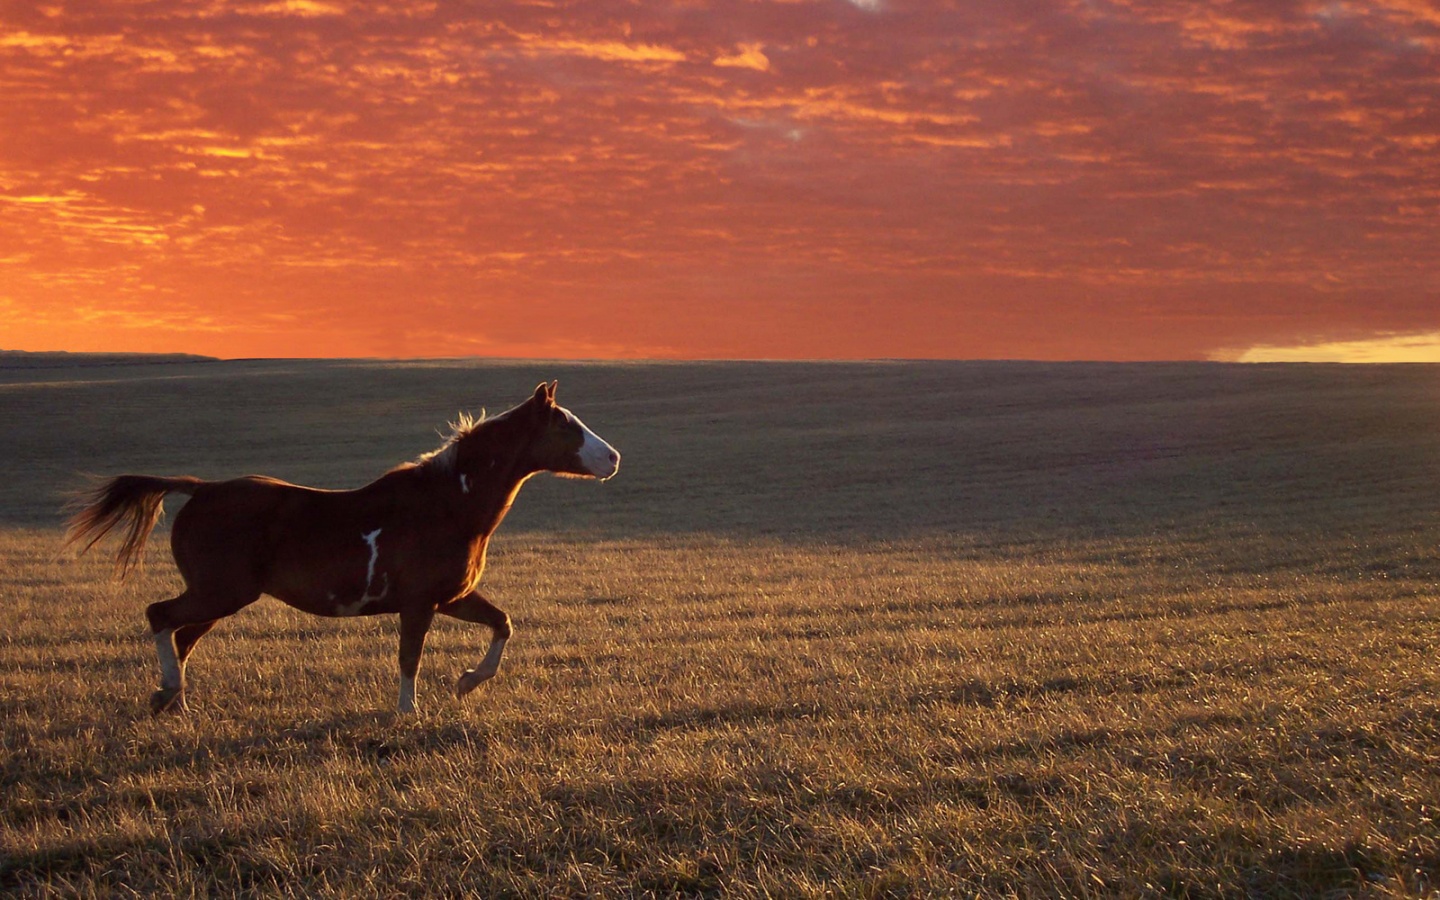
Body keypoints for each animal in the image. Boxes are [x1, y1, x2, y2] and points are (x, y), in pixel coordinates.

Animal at [67, 380, 619, 717]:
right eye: (567, 426)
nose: (613, 458)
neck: (448, 505)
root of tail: (200, 489)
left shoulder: (453, 597)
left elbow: (502, 624)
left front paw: (466, 682)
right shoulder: (419, 603)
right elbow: (409, 657)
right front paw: (408, 712)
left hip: (221, 596)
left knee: (182, 637)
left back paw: (177, 703)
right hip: (219, 592)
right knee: (160, 616)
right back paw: (167, 691)